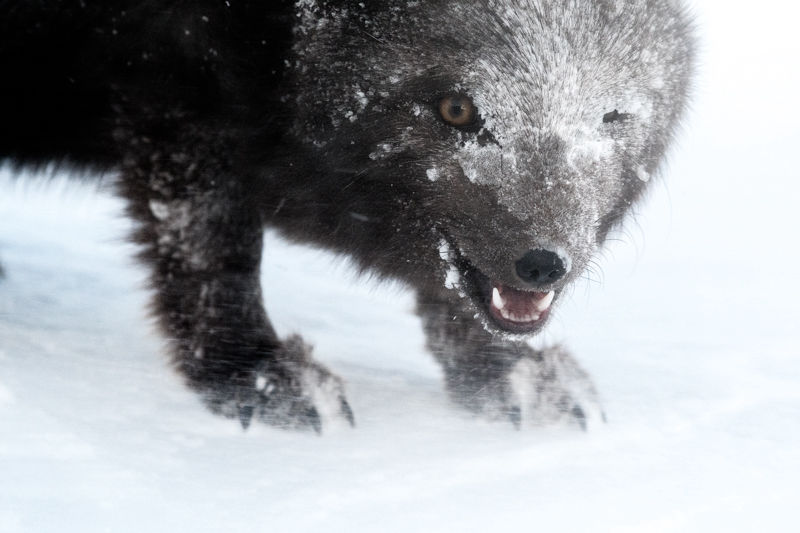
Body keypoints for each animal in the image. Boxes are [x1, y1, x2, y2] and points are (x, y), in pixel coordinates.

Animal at [0, 0, 692, 430]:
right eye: (458, 110)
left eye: (608, 117)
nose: (543, 263)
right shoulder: (176, 82)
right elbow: (217, 249)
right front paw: (251, 374)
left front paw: (506, 376)